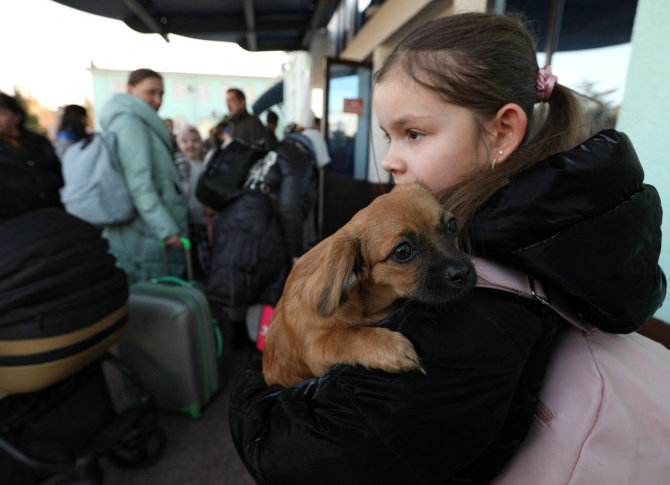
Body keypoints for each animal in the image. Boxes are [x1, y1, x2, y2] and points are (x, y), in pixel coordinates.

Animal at [262, 182, 478, 386]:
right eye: (402, 252)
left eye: (451, 225)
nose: (463, 273)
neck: (363, 303)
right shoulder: (315, 347)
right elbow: (345, 335)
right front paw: (389, 347)